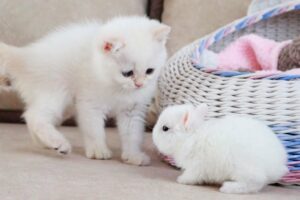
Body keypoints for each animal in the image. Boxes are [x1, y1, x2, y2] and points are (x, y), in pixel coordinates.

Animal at [0, 16, 170, 166]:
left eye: (149, 71)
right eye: (127, 73)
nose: (139, 84)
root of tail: (26, 55)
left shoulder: (132, 110)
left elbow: (133, 135)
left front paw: (133, 156)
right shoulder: (90, 104)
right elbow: (94, 130)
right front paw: (98, 150)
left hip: (65, 106)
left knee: (33, 119)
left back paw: (46, 144)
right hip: (56, 92)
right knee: (34, 116)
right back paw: (59, 143)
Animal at [154, 104, 288, 193]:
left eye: (165, 128)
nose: (153, 137)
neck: (191, 136)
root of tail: (277, 166)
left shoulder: (196, 166)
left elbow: (192, 176)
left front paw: (181, 180)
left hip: (244, 169)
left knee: (254, 183)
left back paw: (227, 187)